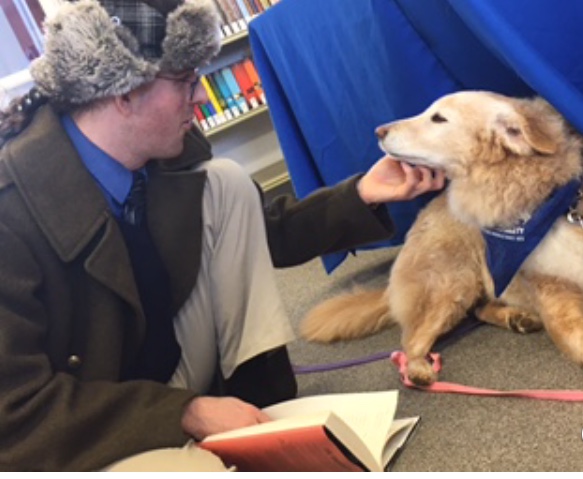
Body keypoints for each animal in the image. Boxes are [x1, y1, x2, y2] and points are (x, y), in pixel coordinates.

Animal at [302, 91, 583, 386]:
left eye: (438, 118)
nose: (379, 131)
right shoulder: (556, 303)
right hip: (453, 282)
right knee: (410, 342)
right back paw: (418, 370)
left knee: (478, 309)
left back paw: (516, 318)